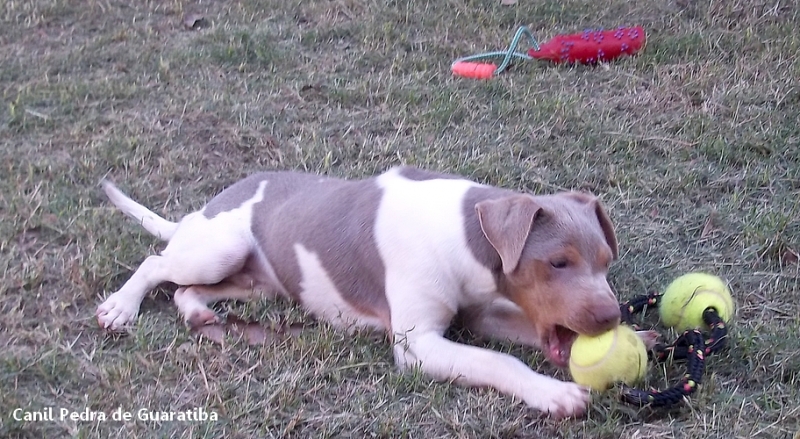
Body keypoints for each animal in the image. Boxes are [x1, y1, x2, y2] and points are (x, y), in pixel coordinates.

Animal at [97, 168, 624, 420]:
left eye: (605, 261)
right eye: (557, 263)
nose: (611, 318)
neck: (466, 234)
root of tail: (202, 210)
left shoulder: (479, 314)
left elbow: (511, 337)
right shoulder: (418, 344)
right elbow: (500, 361)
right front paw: (554, 393)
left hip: (253, 280)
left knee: (187, 289)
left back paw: (201, 317)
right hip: (219, 247)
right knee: (158, 264)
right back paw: (120, 308)